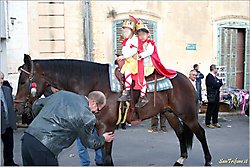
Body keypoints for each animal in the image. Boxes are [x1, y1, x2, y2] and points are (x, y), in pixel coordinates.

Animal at [14, 54, 212, 166]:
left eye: (23, 81)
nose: (16, 106)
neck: (93, 82)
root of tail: (187, 79)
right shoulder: (97, 129)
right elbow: (104, 157)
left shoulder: (106, 127)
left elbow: (106, 158)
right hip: (169, 113)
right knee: (180, 132)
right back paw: (181, 159)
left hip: (188, 115)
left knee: (200, 133)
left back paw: (208, 160)